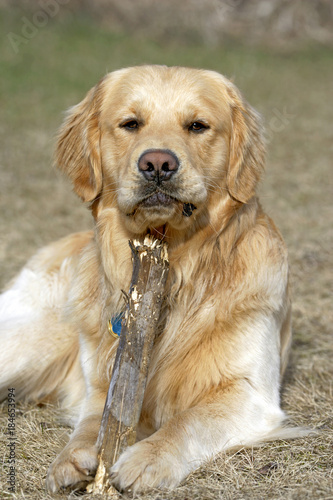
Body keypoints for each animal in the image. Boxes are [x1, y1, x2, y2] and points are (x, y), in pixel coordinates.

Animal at [0, 65, 296, 492]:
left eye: (197, 126)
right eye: (131, 124)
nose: (158, 164)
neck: (179, 272)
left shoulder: (250, 392)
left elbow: (189, 420)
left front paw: (147, 458)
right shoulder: (101, 382)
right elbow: (94, 420)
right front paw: (73, 458)